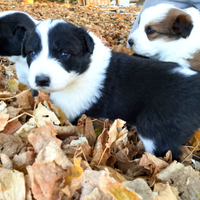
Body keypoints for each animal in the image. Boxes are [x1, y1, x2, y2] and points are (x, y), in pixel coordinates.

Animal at [22, 19, 200, 159]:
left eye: (64, 53)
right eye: (32, 52)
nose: (41, 80)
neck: (85, 70)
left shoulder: (69, 111)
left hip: (156, 128)